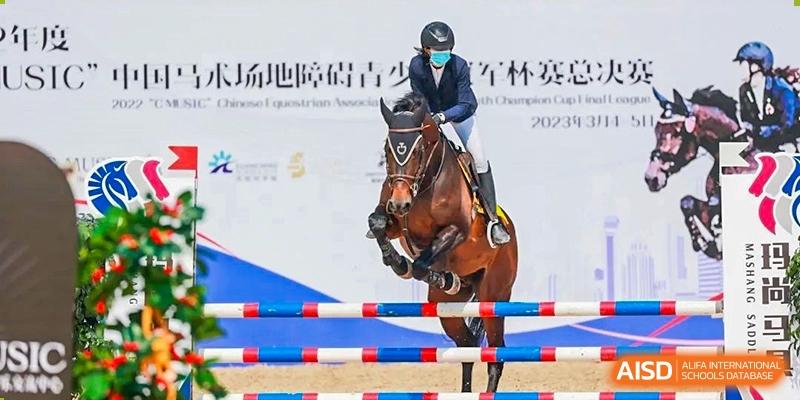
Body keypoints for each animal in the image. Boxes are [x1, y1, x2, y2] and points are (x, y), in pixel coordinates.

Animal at [366, 92, 519, 393]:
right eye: (388, 150)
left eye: (417, 151)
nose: (400, 203)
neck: (424, 183)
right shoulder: (393, 221)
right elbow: (376, 223)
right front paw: (396, 261)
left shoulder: (455, 230)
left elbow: (424, 261)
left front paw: (424, 271)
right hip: (448, 308)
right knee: (468, 345)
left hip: (493, 296)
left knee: (496, 353)